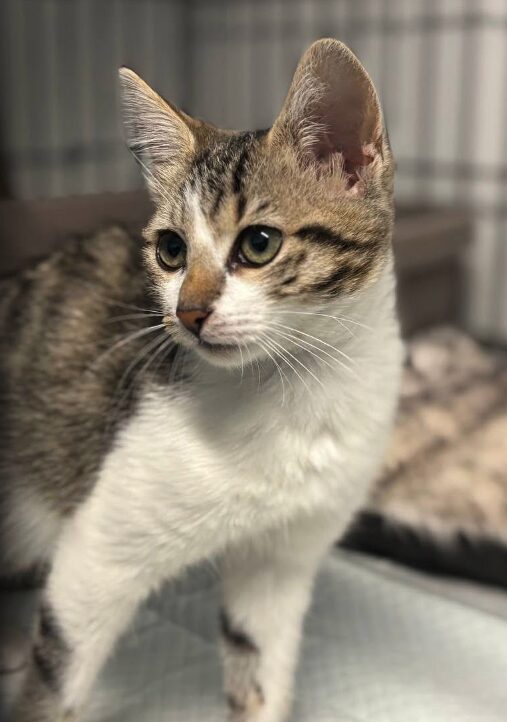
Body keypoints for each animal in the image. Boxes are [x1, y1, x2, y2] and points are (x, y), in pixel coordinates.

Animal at [1, 39, 402, 720]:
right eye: (170, 250)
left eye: (260, 243)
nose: (187, 313)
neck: (296, 392)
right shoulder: (97, 554)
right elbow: (55, 685)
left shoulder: (279, 564)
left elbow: (260, 666)